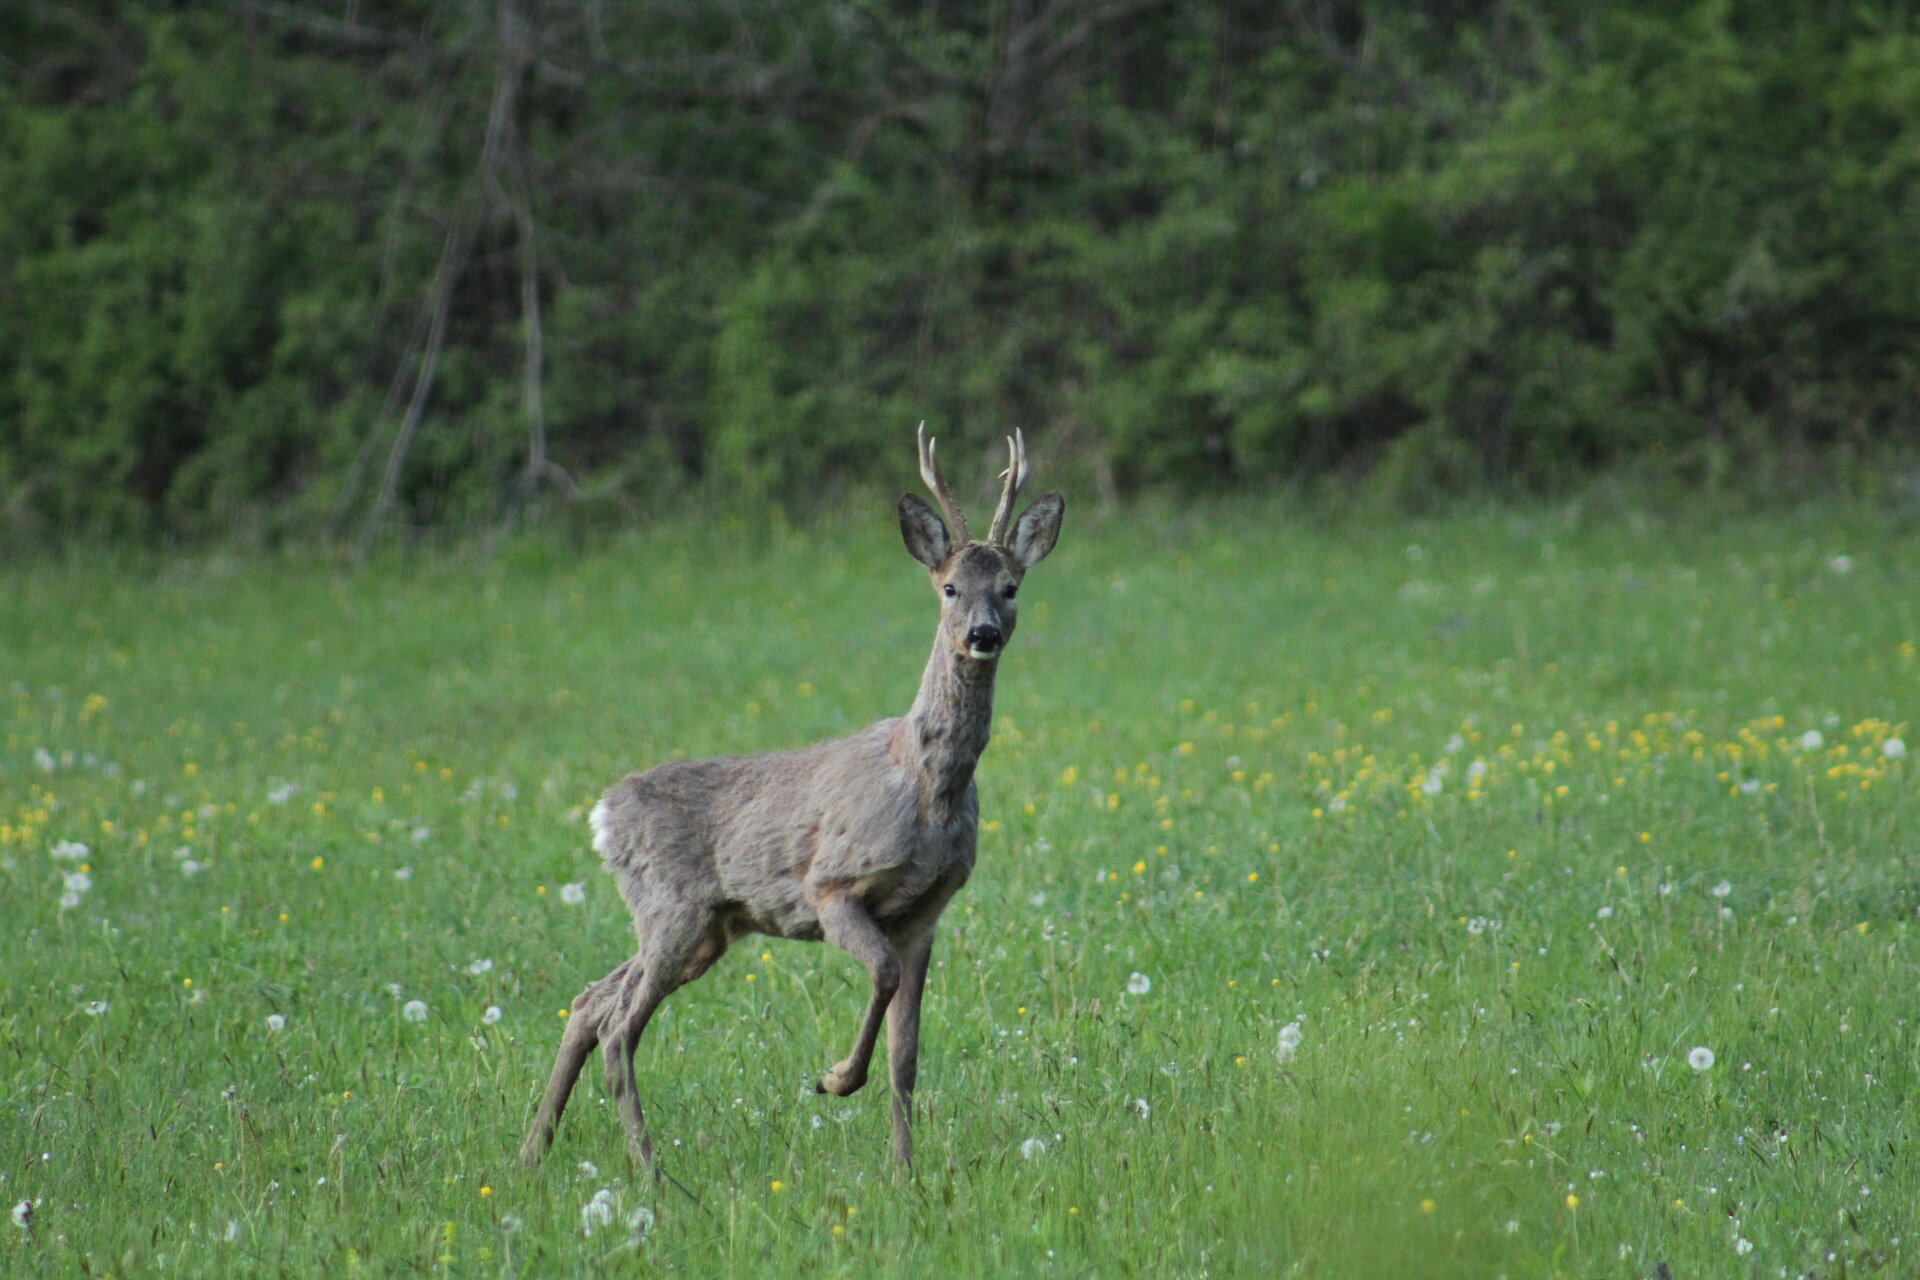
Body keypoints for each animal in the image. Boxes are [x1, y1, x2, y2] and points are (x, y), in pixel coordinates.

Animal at [518, 427, 1067, 1174]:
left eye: (1010, 588)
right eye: (949, 586)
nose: (982, 634)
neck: (928, 791)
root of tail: (603, 813)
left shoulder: (927, 912)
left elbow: (906, 1057)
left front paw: (905, 1173)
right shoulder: (831, 886)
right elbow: (881, 976)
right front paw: (834, 1079)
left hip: (708, 927)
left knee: (589, 1003)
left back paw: (533, 1153)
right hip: (672, 907)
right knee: (621, 1025)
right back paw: (651, 1172)